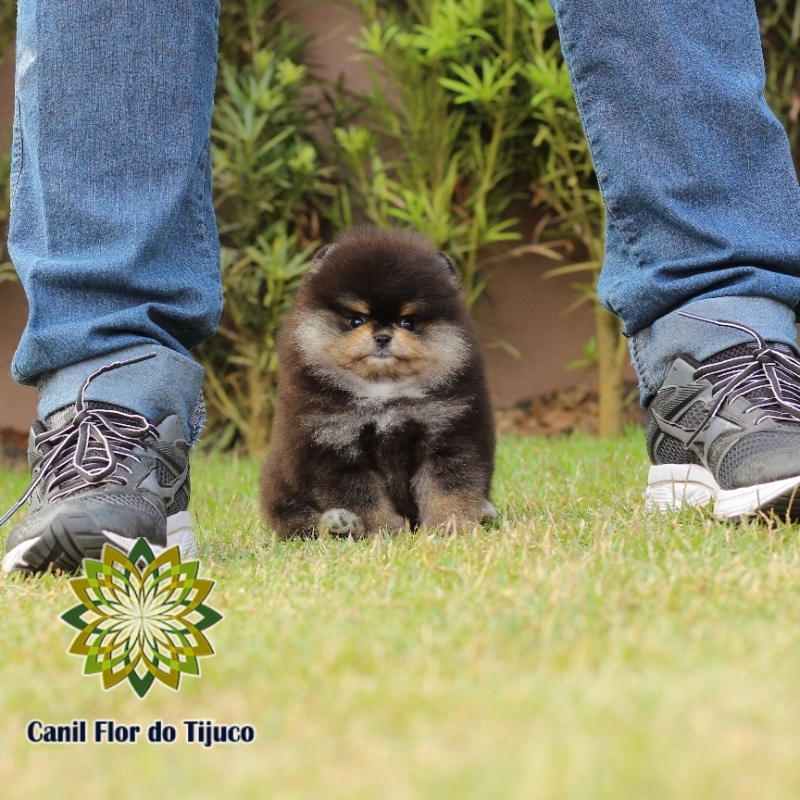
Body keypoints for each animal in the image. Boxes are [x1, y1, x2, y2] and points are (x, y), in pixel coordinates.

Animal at [260, 225, 494, 536]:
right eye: (356, 320)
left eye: (408, 322)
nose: (382, 336)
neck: (383, 391)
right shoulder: (332, 445)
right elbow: (363, 498)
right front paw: (385, 532)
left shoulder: (446, 434)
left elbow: (448, 489)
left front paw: (449, 526)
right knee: (296, 522)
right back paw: (337, 523)